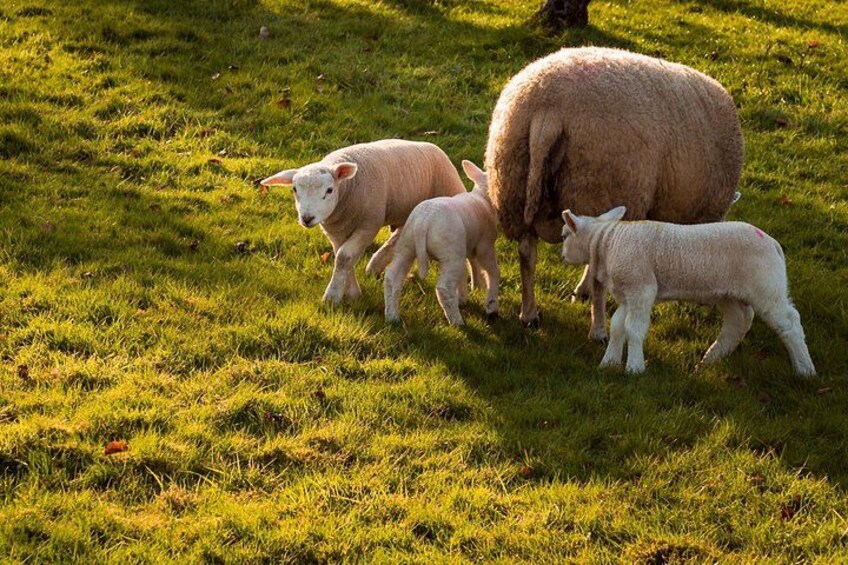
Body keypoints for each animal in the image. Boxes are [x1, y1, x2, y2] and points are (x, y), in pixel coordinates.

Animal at [260, 139, 468, 304]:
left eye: (329, 190)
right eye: (294, 189)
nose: (307, 218)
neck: (346, 189)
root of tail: (435, 147)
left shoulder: (369, 224)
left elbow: (344, 257)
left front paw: (332, 297)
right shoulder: (335, 231)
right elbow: (343, 257)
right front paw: (352, 293)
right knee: (399, 234)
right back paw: (376, 265)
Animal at [384, 160, 500, 326]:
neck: (482, 198)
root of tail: (424, 221)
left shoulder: (465, 248)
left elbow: (464, 273)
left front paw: (462, 298)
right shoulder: (485, 247)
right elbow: (493, 273)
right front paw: (490, 304)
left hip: (407, 244)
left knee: (392, 277)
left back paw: (392, 316)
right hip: (451, 252)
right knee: (444, 288)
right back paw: (457, 321)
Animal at [485, 46, 744, 336]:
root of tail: (547, 111)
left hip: (513, 185)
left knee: (526, 254)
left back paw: (530, 314)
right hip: (600, 187)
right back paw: (598, 328)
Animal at [560, 206, 816, 376]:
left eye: (564, 235)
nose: (562, 256)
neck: (607, 240)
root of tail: (773, 244)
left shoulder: (641, 288)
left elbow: (633, 329)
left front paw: (634, 368)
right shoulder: (628, 294)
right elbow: (617, 327)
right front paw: (609, 363)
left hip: (766, 288)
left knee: (790, 323)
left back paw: (804, 369)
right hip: (729, 293)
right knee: (739, 321)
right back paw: (710, 359)